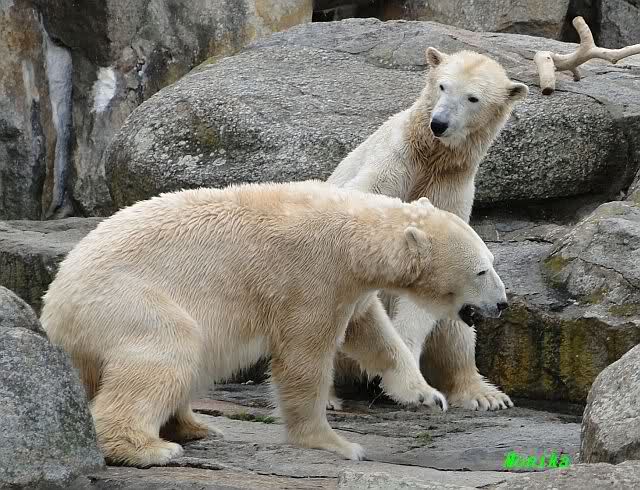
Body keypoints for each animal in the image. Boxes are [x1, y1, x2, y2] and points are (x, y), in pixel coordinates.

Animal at [40, 180, 508, 467]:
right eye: (482, 270)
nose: (503, 304)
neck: (355, 234)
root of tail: (53, 309)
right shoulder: (312, 276)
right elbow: (304, 358)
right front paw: (336, 444)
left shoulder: (349, 288)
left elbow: (371, 333)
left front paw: (426, 395)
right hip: (124, 301)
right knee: (169, 348)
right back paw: (150, 449)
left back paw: (196, 427)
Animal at [328, 47, 528, 411]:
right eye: (442, 86)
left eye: (473, 98)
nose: (439, 123)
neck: (430, 157)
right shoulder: (391, 163)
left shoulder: (450, 189)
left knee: (456, 329)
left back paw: (484, 394)